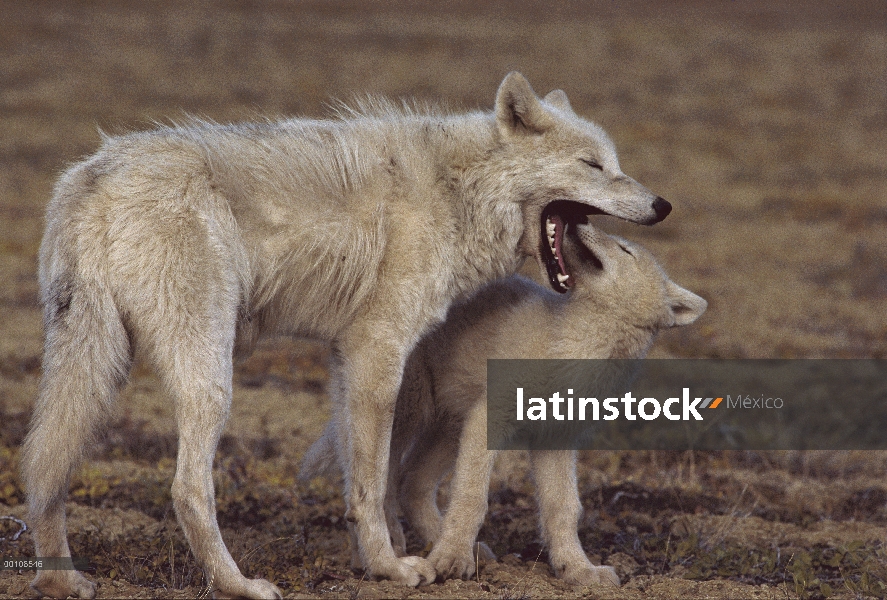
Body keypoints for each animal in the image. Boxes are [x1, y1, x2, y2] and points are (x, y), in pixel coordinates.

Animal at [20, 72, 668, 596]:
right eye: (593, 166)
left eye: (615, 162)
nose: (662, 205)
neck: (459, 189)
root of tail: (92, 179)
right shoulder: (378, 350)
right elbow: (373, 483)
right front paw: (391, 567)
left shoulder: (345, 356)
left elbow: (366, 479)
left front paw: (384, 559)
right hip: (209, 380)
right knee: (185, 489)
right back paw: (238, 585)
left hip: (90, 369)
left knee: (43, 467)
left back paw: (60, 581)